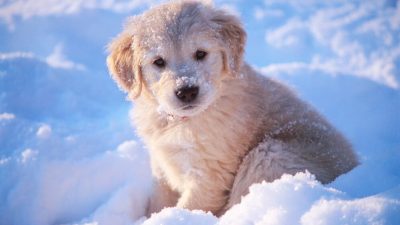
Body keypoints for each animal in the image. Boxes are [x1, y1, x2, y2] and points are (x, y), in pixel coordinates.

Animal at [105, 0, 356, 218]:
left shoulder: (210, 177)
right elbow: (158, 202)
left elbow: (188, 207)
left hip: (269, 155)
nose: (187, 91)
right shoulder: (162, 167)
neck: (180, 121)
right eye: (158, 62)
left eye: (201, 54)